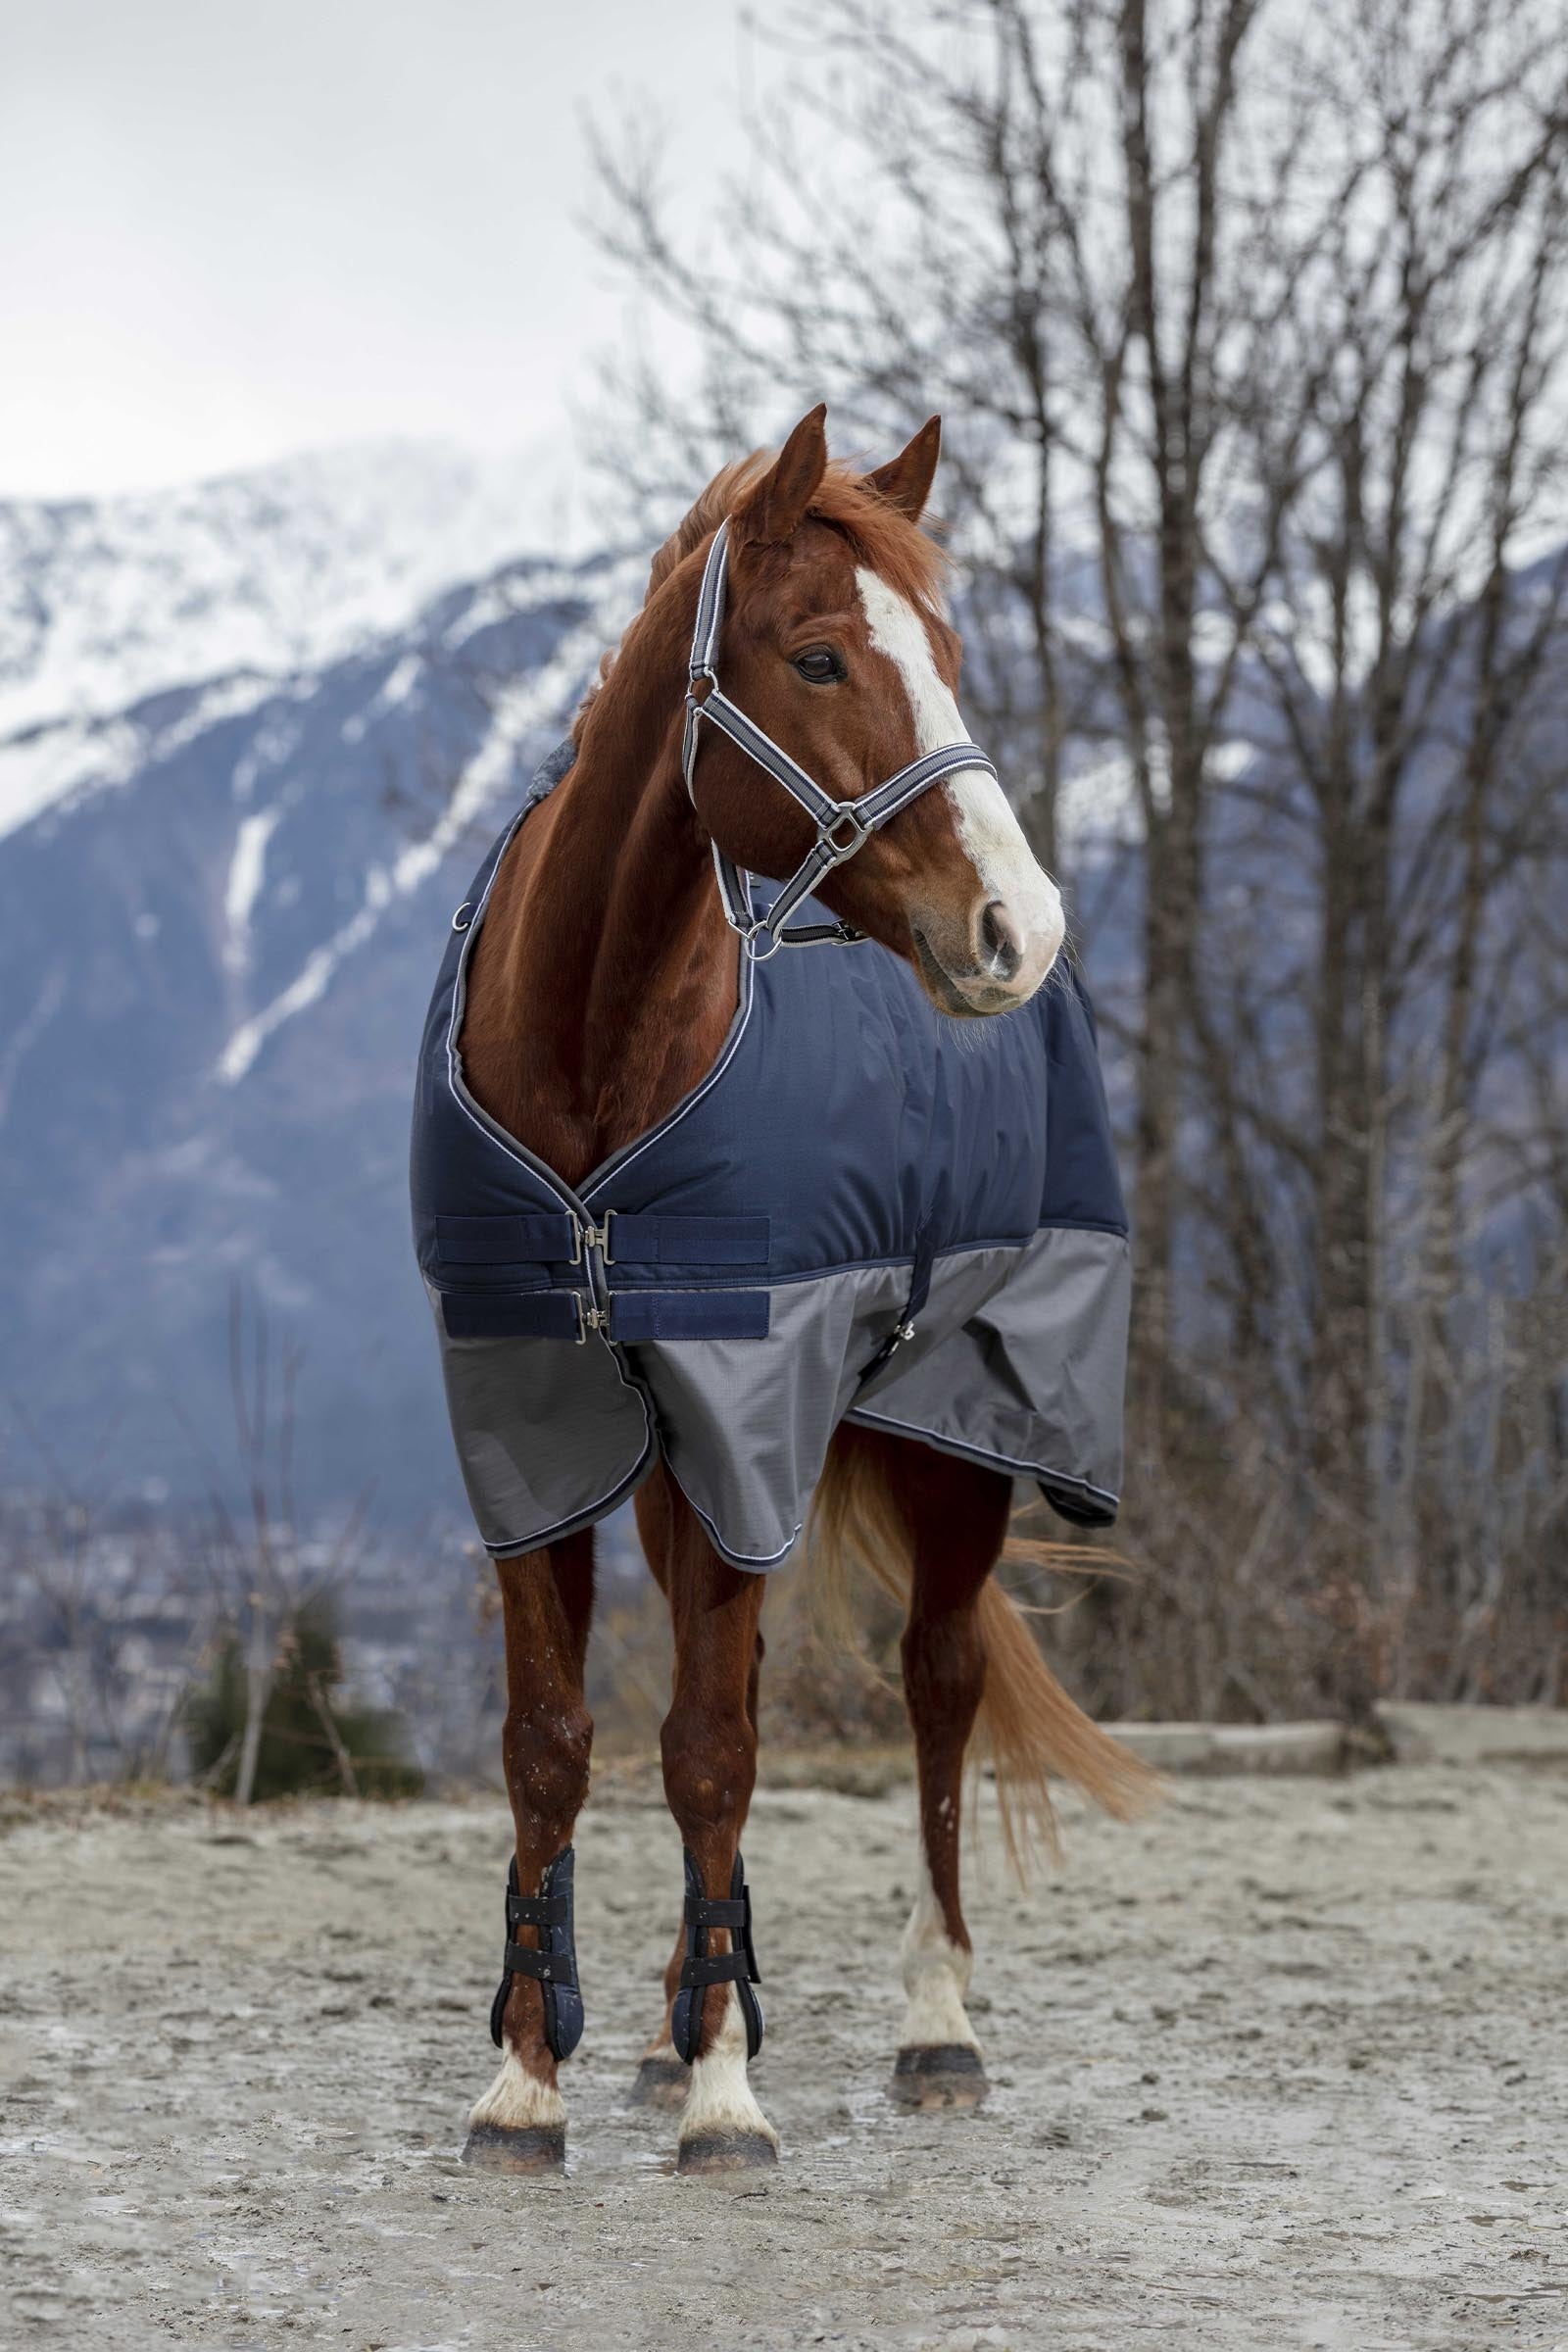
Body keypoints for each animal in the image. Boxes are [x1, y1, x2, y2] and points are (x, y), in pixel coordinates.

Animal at [413, 405, 1152, 2175]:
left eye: (943, 652)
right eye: (818, 656)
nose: (1015, 924)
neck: (593, 1071)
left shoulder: (749, 1411)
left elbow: (712, 1750)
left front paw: (730, 2095)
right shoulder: (529, 1424)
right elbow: (560, 1747)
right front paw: (533, 2076)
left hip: (966, 1430)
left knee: (940, 1686)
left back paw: (936, 2026)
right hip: (683, 1473)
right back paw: (674, 2018)